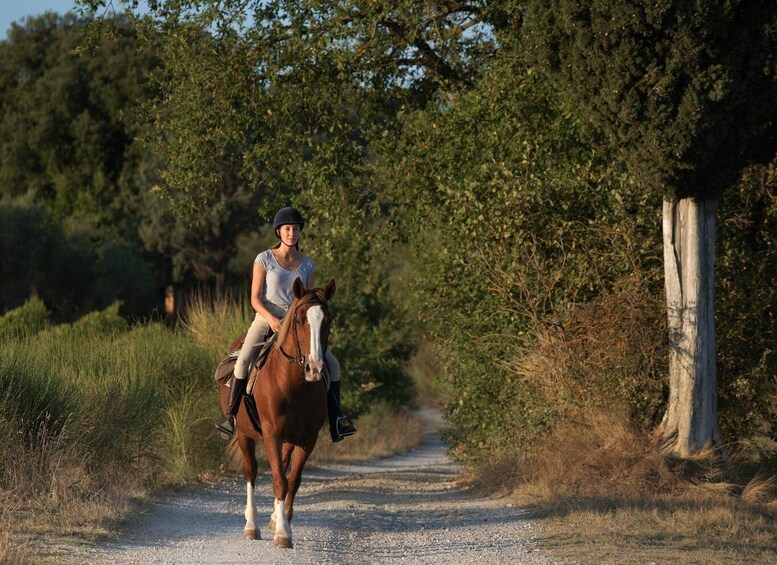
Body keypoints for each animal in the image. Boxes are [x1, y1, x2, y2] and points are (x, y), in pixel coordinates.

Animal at [221, 278, 336, 548]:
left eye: (327, 321)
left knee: (281, 467)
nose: (315, 368)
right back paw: (251, 526)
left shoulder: (307, 439)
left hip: (287, 440)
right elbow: (278, 480)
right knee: (251, 471)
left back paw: (273, 518)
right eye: (299, 320)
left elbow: (291, 479)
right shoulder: (272, 434)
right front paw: (283, 533)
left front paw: (281, 524)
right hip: (245, 434)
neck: (293, 384)